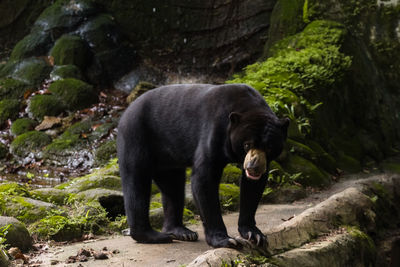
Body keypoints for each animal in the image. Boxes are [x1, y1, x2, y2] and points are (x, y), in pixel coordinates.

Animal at [117, 84, 290, 249]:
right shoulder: (214, 131)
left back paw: (181, 232)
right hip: (136, 136)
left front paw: (255, 234)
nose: (253, 166)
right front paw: (226, 240)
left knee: (173, 187)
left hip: (168, 156)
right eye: (247, 144)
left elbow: (252, 187)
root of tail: (126, 111)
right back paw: (153, 236)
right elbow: (204, 180)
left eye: (269, 147)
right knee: (136, 184)